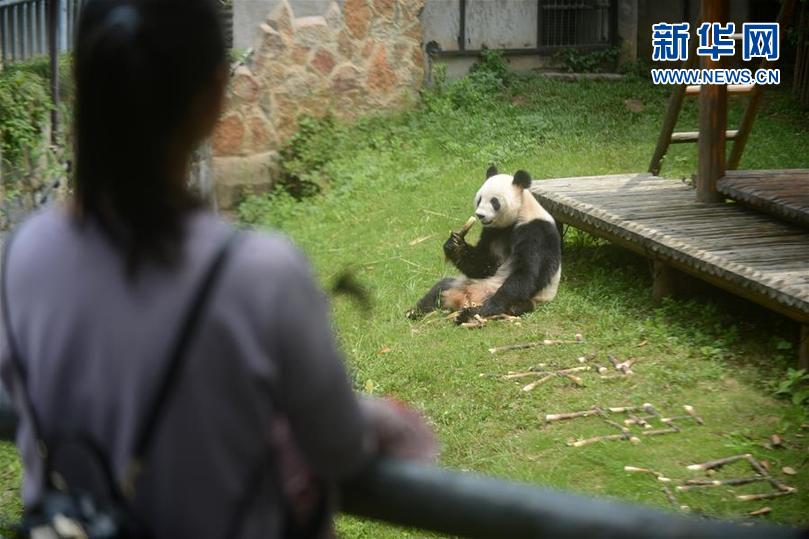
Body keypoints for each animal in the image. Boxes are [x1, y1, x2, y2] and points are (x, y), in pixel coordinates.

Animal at [408, 167, 560, 322]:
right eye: (479, 198)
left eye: (494, 201)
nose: (480, 215)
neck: (519, 213)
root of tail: (461, 300)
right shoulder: (493, 232)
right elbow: (483, 265)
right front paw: (455, 245)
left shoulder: (535, 231)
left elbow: (527, 272)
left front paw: (489, 307)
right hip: (461, 283)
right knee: (439, 288)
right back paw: (415, 312)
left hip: (524, 299)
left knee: (512, 304)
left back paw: (471, 313)